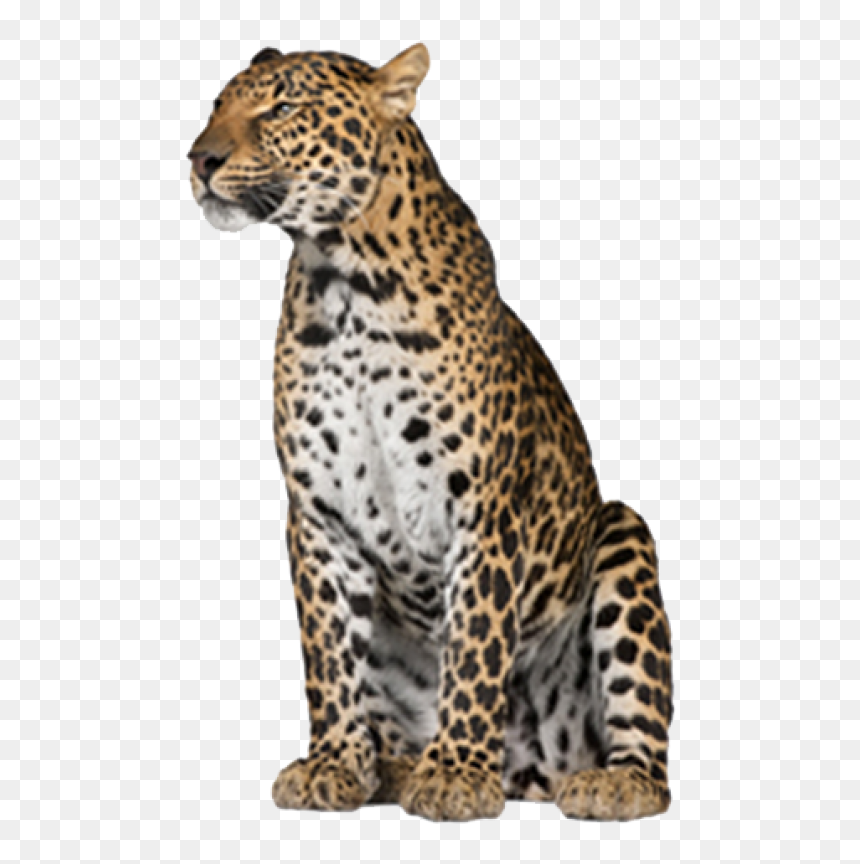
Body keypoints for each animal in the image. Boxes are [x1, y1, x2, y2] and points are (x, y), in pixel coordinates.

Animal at [188, 43, 674, 822]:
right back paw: (390, 767)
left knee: (649, 756)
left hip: (624, 535)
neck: (346, 283)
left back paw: (605, 783)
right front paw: (333, 763)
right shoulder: (318, 514)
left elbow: (475, 642)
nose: (199, 158)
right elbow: (328, 654)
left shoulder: (483, 509)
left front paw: (455, 776)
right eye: (217, 106)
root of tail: (532, 770)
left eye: (283, 107)